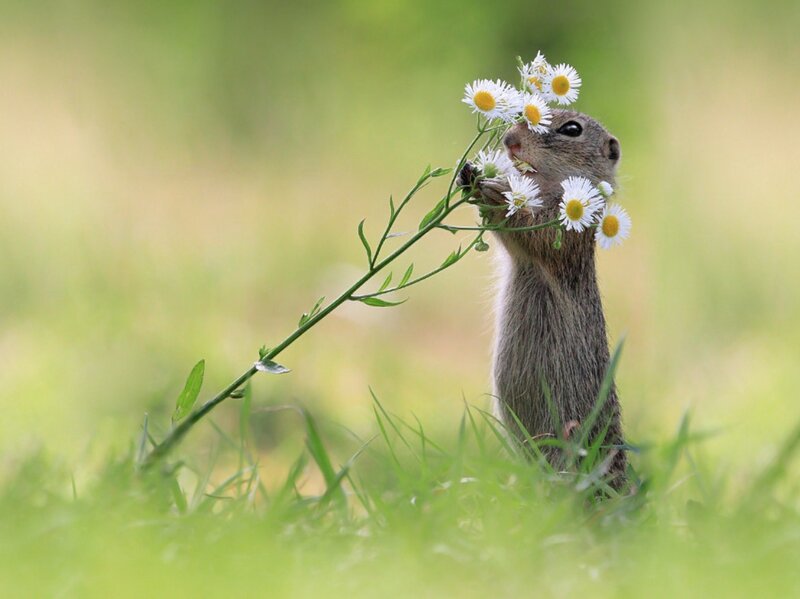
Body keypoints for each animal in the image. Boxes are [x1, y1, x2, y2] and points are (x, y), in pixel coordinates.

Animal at [459, 109, 626, 486]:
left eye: (572, 129)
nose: (510, 140)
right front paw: (469, 175)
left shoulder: (563, 233)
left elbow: (532, 232)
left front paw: (495, 190)